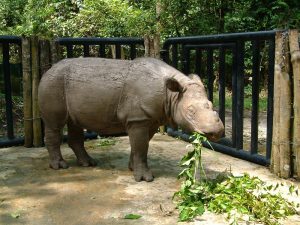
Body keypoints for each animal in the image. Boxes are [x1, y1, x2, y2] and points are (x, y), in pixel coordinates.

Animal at [38, 57, 223, 182]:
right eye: (190, 111)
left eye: (211, 105)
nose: (216, 132)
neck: (172, 95)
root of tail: (47, 70)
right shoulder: (138, 118)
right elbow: (141, 147)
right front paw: (145, 179)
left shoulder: (148, 118)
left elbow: (140, 146)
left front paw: (132, 168)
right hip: (52, 83)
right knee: (55, 124)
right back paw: (60, 166)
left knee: (74, 123)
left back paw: (88, 163)